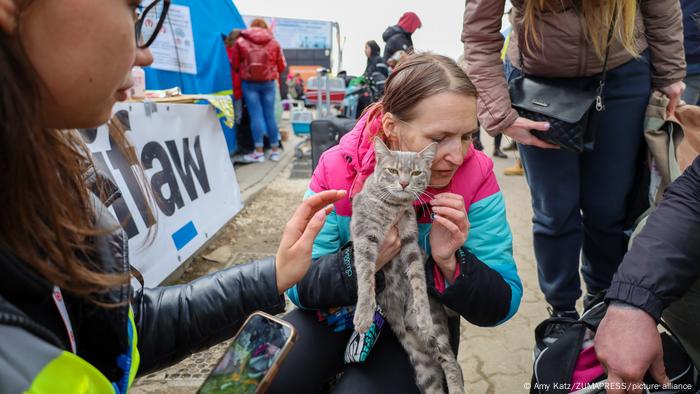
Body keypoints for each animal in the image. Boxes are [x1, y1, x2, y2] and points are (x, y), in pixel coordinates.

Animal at [352, 138, 462, 394]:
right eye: (392, 171)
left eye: (416, 173)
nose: (403, 183)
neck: (393, 206)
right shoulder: (364, 236)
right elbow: (365, 277)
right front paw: (363, 315)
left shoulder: (410, 242)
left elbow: (419, 280)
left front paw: (422, 312)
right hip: (422, 364)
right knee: (434, 382)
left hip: (437, 336)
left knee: (452, 363)